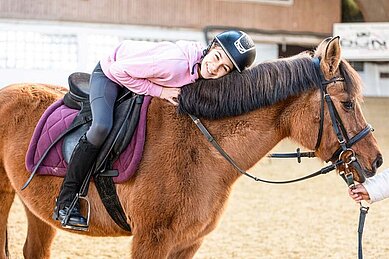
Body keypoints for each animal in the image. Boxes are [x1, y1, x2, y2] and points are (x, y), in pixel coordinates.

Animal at [0, 35, 382, 258]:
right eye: (348, 103)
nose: (375, 160)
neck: (202, 147)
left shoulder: (187, 243)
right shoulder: (151, 240)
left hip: (36, 208)